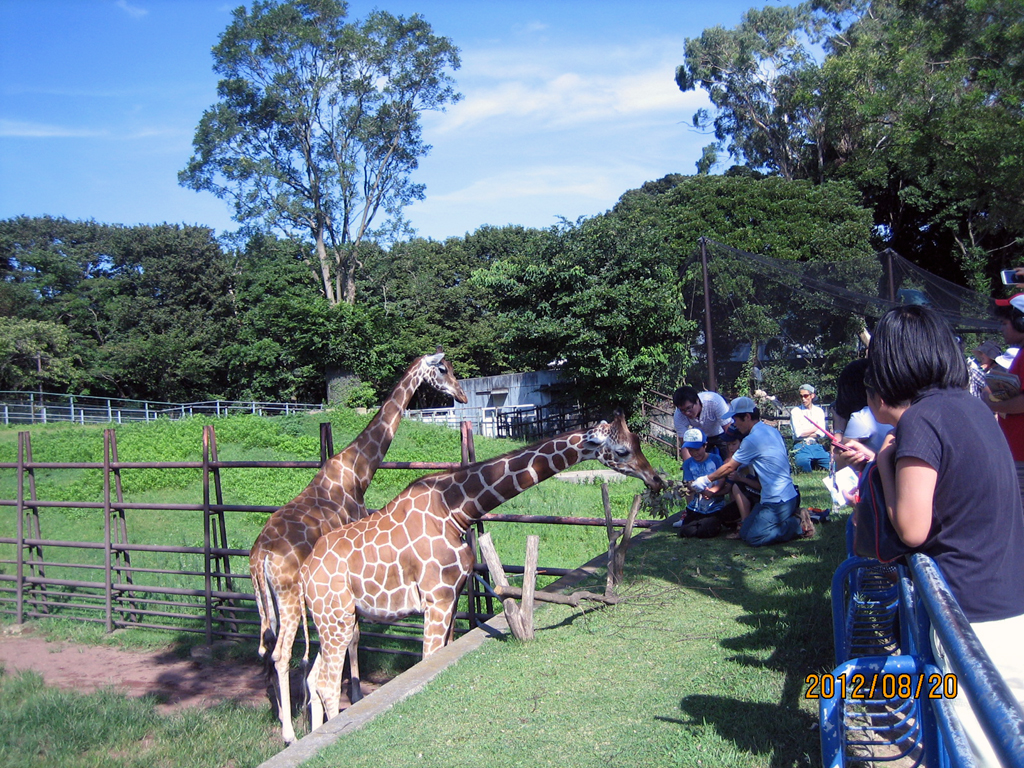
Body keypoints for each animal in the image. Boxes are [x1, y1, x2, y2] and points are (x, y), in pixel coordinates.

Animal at [251, 350, 468, 745]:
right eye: (444, 369)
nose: (461, 395)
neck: (358, 473)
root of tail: (259, 555)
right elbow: (353, 636)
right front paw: (351, 695)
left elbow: (351, 634)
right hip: (288, 594)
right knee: (280, 653)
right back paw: (290, 733)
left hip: (268, 599)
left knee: (266, 648)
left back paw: (280, 713)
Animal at [299, 409, 663, 729]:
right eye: (622, 450)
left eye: (638, 442)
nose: (656, 479)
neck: (455, 510)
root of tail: (305, 573)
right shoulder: (437, 598)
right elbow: (426, 661)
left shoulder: (453, 596)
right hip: (336, 619)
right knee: (327, 683)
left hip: (338, 619)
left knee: (312, 678)